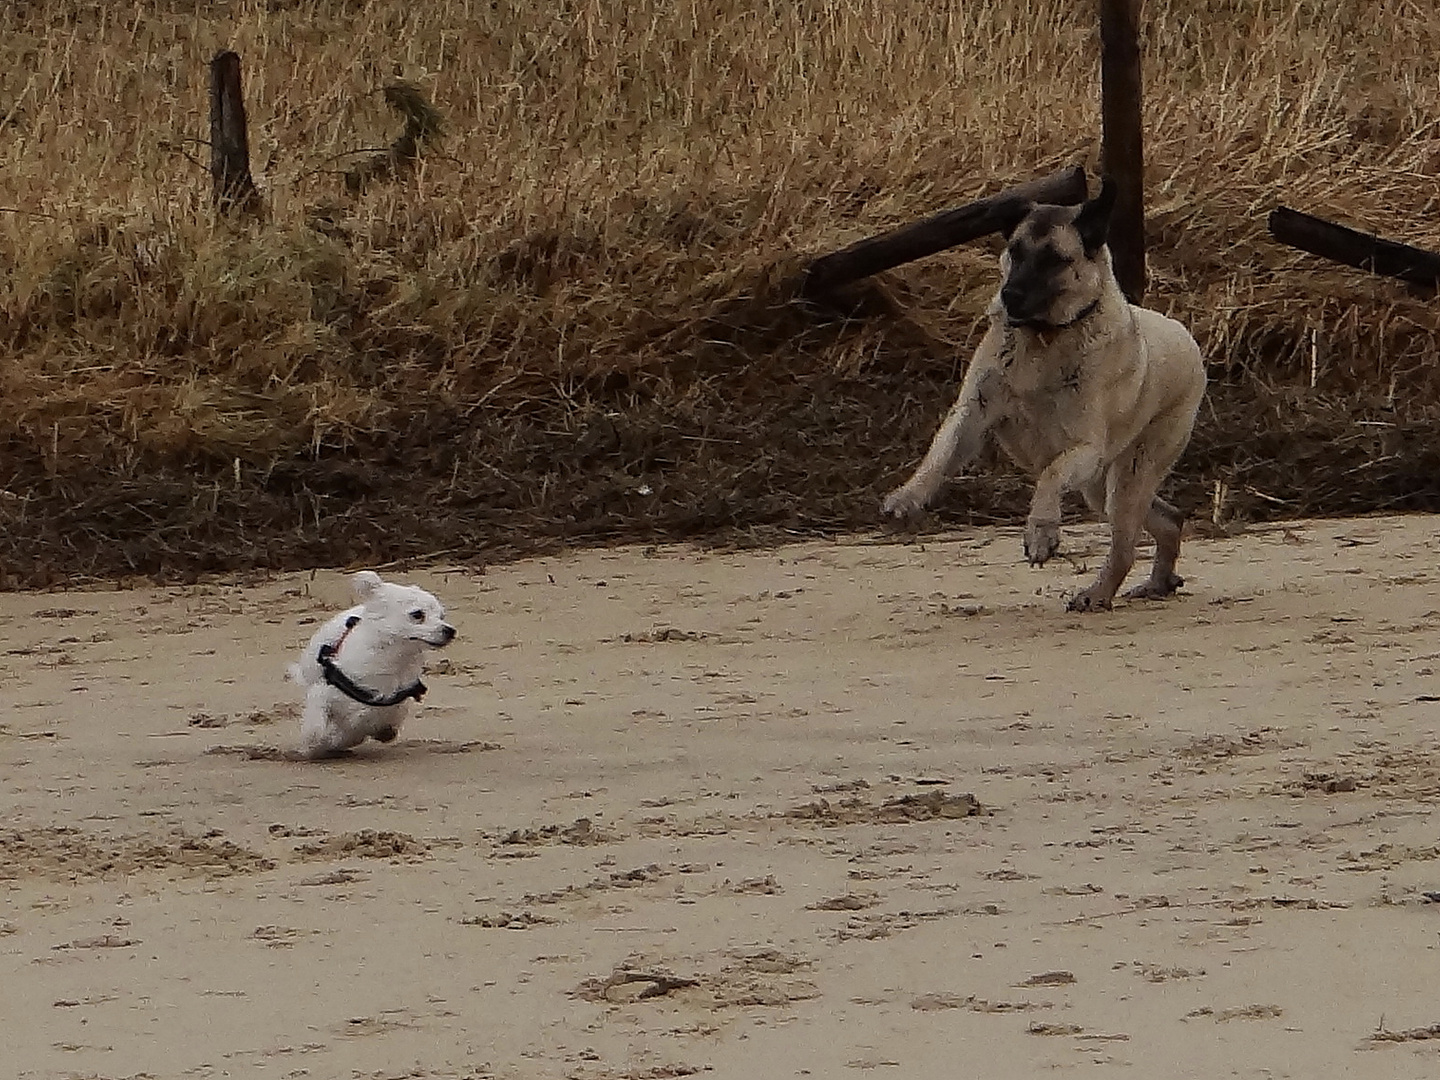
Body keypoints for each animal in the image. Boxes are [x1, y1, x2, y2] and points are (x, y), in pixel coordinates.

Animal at [286, 570, 455, 754]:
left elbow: (365, 730)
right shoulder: (323, 692)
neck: (394, 661)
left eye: (442, 616)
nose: (450, 630)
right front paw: (316, 744)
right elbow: (317, 729)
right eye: (417, 615)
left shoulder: (391, 709)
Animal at [881, 182, 1209, 613]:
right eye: (1016, 251)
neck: (1043, 337)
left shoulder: (1084, 448)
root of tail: (1187, 338)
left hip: (1131, 473)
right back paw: (1158, 582)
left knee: (1124, 547)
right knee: (1168, 519)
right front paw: (908, 496)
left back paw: (1096, 594)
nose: (1010, 295)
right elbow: (941, 450)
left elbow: (1051, 474)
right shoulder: (972, 414)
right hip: (1102, 488)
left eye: (1054, 259)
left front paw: (1040, 533)